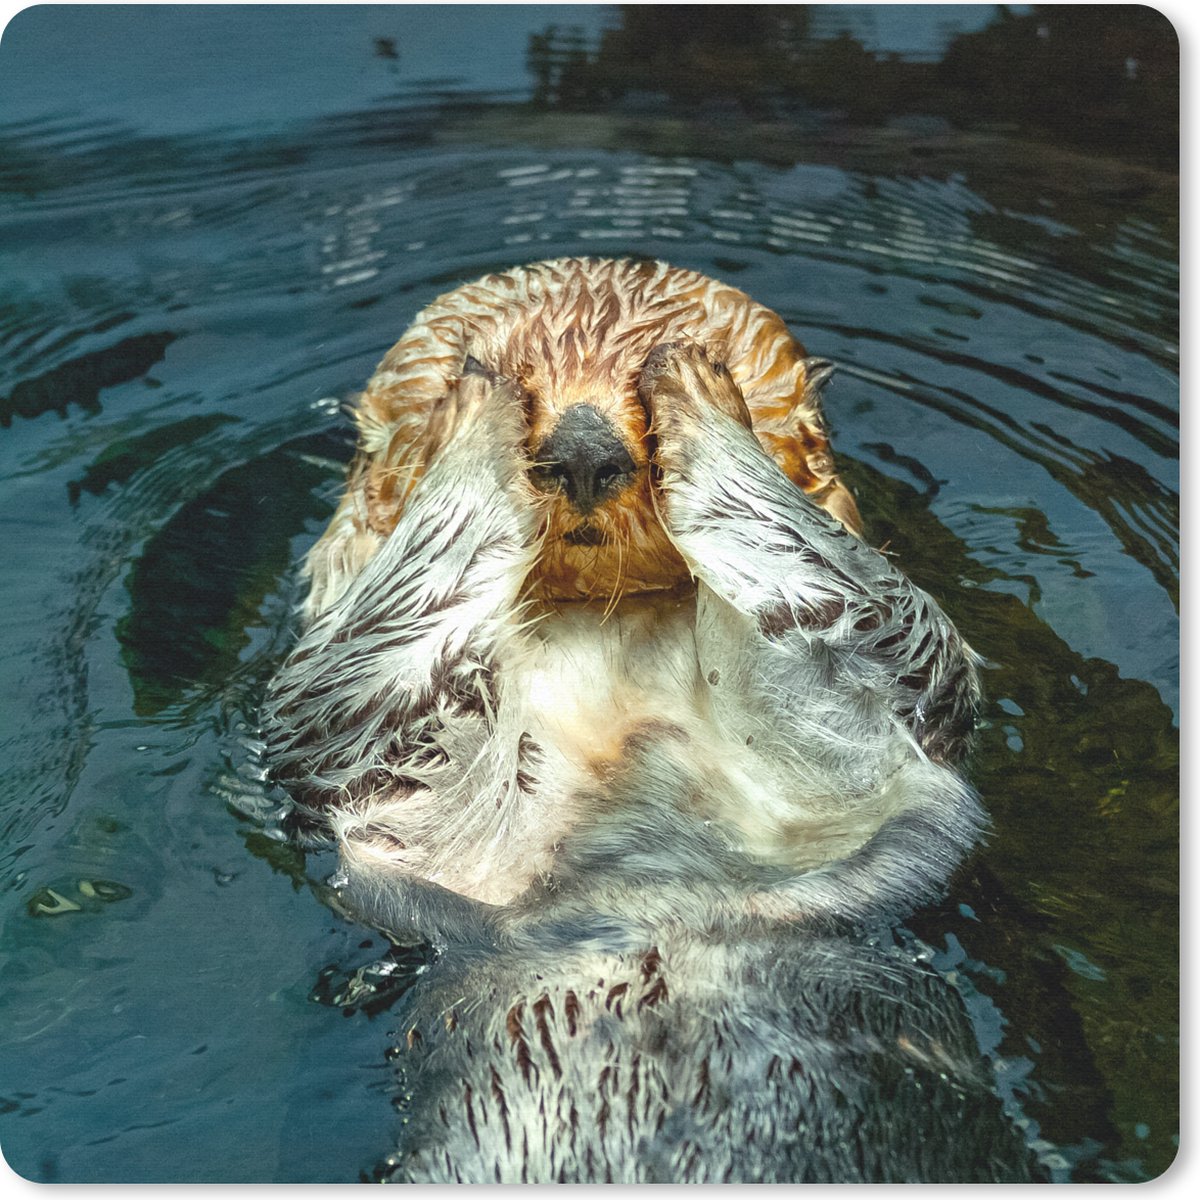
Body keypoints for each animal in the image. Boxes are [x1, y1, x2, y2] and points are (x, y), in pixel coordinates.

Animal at [263, 258, 1034, 1183]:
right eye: (505, 362)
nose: (584, 449)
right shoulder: (368, 754)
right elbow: (374, 666)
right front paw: (473, 406)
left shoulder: (875, 729)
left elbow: (848, 607)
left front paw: (699, 386)